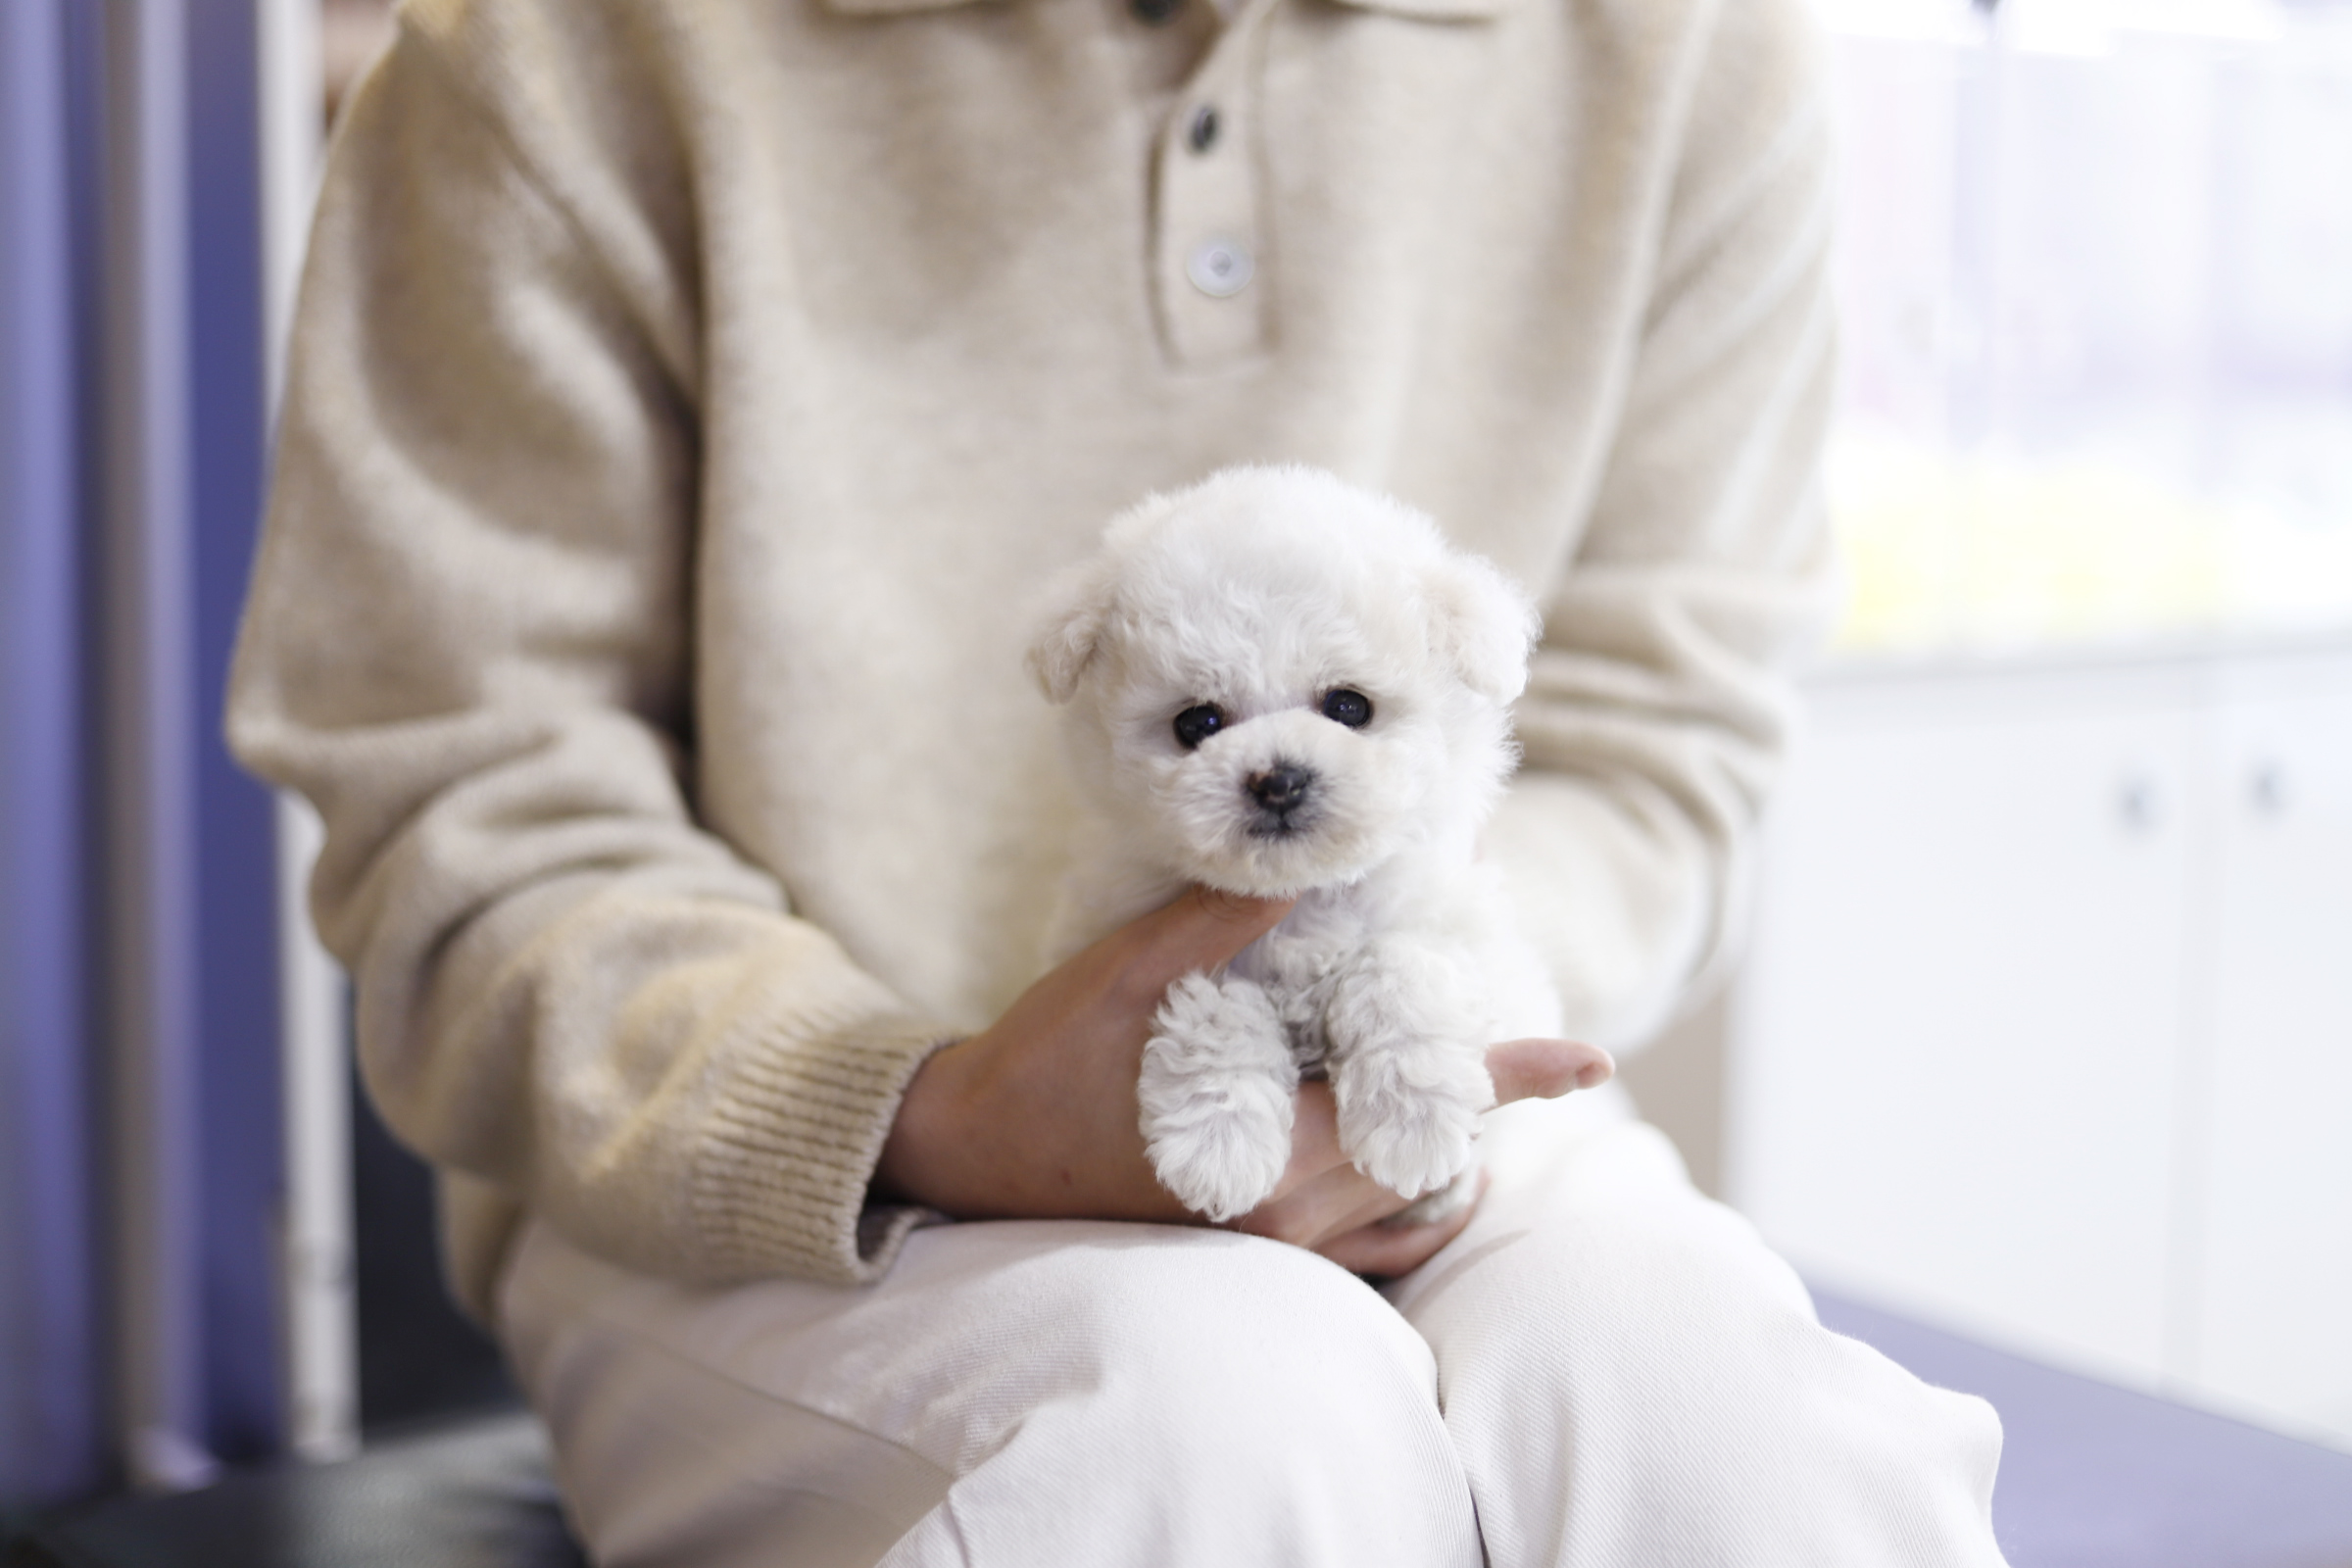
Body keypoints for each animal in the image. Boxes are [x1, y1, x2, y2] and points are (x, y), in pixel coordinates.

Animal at [1030, 465, 1561, 1222]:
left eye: (1349, 706)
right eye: (1197, 722)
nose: (1278, 781)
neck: (1301, 897)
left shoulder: (1463, 930)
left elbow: (1404, 964)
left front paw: (1415, 1124)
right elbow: (1217, 1003)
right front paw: (1219, 1146)